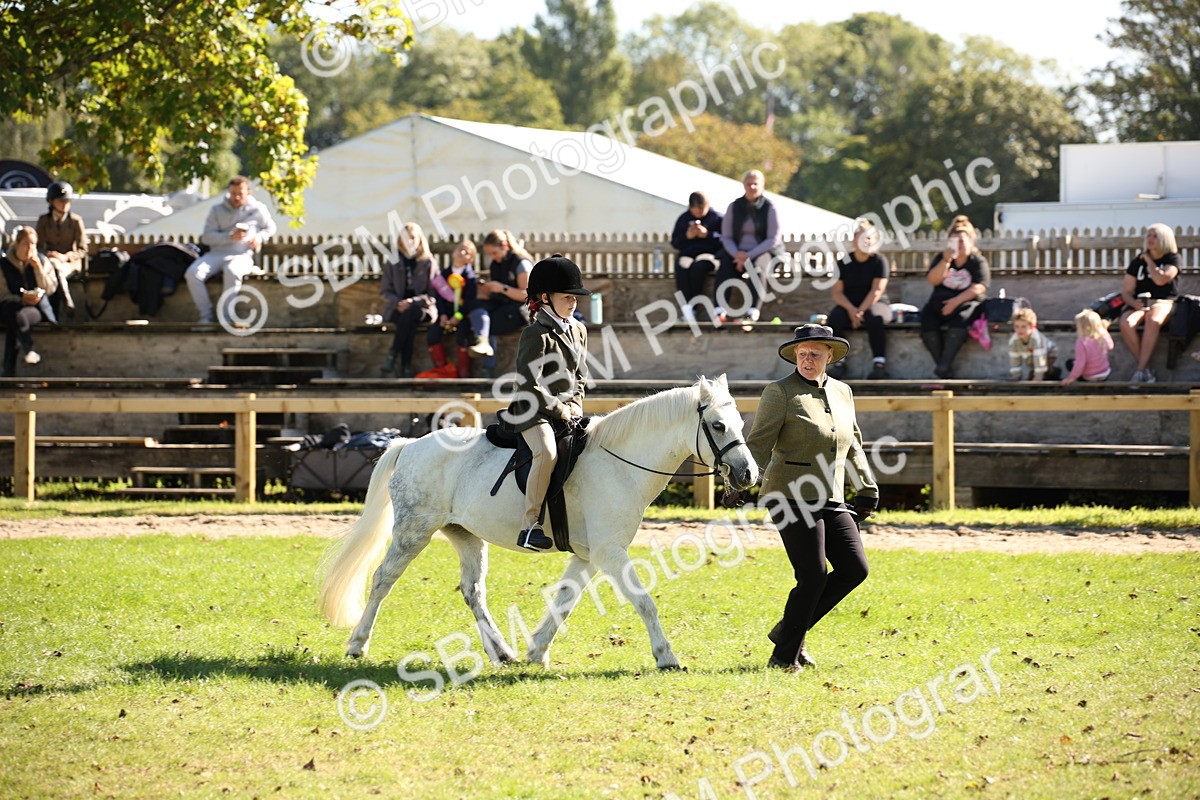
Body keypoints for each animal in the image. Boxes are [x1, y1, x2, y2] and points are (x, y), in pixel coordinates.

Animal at [318, 374, 758, 670]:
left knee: (472, 592)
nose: (748, 474)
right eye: (718, 426)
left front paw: (536, 651)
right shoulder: (610, 552)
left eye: (739, 424)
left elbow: (565, 601)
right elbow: (643, 600)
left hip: (466, 536)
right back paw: (357, 645)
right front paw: (666, 656)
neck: (620, 463)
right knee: (382, 581)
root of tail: (409, 445)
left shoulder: (588, 556)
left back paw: (502, 652)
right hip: (413, 533)